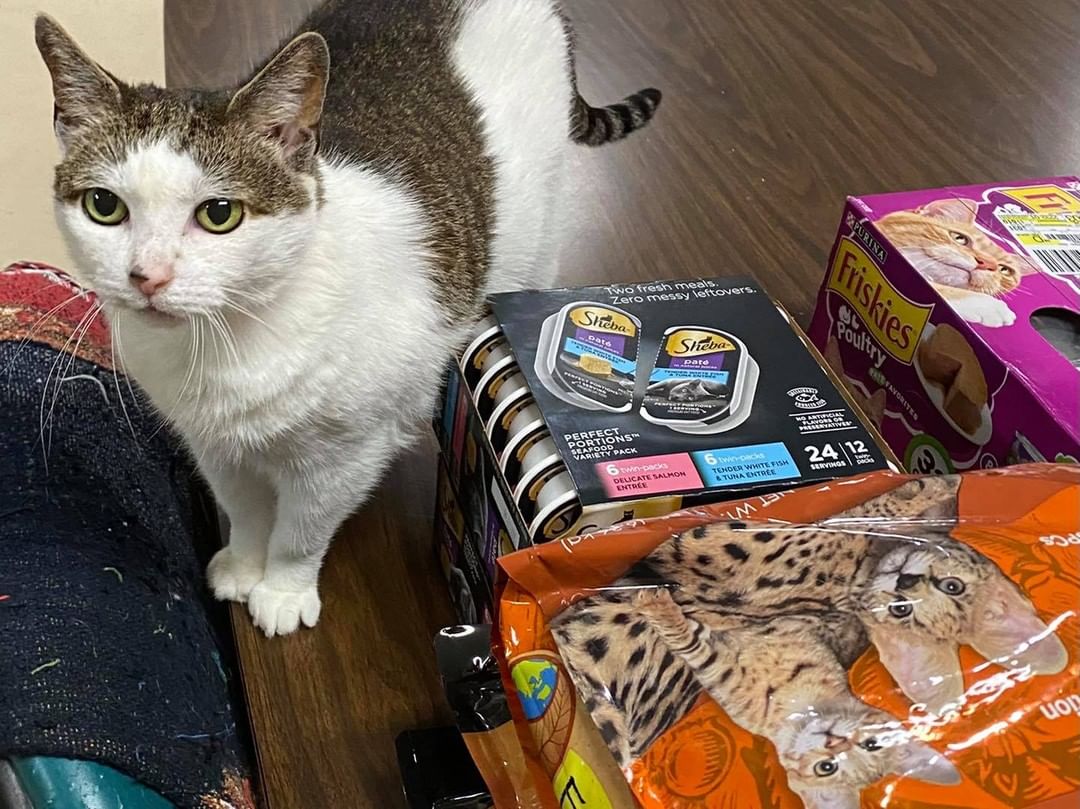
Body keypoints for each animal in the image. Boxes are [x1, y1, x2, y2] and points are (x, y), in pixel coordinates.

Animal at [33, 3, 656, 635]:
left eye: (219, 213)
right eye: (104, 206)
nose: (148, 276)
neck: (229, 342)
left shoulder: (345, 458)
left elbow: (300, 533)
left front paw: (281, 592)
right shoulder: (212, 444)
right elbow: (244, 509)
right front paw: (243, 565)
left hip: (540, 230)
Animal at [635, 587, 959, 807]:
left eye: (826, 768)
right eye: (872, 743)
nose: (833, 742)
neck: (799, 704)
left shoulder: (719, 667)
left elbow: (689, 640)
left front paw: (657, 607)